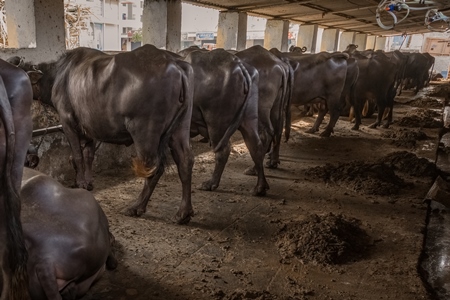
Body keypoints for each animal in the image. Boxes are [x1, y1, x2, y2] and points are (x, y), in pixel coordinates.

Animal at [16, 44, 195, 224]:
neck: (58, 74)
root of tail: (176, 65)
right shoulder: (90, 128)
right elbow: (88, 156)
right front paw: (88, 182)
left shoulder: (67, 122)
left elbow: (77, 156)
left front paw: (81, 182)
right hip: (180, 127)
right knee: (185, 161)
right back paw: (183, 212)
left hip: (145, 133)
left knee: (153, 168)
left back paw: (136, 207)